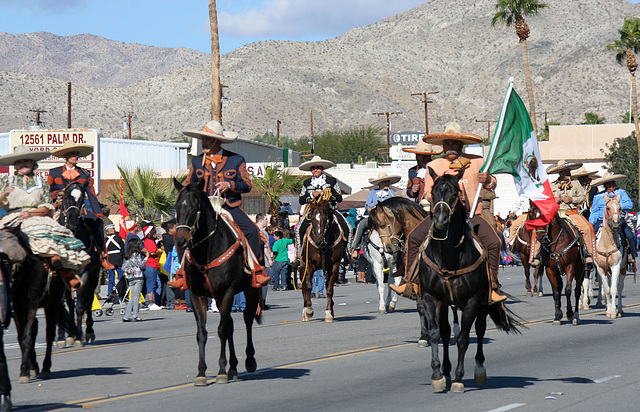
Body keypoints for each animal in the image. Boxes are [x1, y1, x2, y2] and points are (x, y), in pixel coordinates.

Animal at [57, 180, 102, 344]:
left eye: (83, 197)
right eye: (66, 196)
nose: (71, 222)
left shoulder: (85, 273)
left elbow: (80, 306)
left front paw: (78, 337)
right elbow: (64, 304)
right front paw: (62, 337)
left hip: (95, 274)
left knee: (88, 299)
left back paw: (88, 332)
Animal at [172, 179, 262, 384]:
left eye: (195, 207)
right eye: (176, 207)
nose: (180, 241)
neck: (206, 252)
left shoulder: (228, 291)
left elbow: (222, 330)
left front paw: (221, 371)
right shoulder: (197, 294)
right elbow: (202, 333)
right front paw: (201, 373)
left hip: (250, 289)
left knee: (246, 320)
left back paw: (249, 361)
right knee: (230, 324)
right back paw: (234, 367)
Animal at [368, 196, 458, 348]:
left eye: (383, 224)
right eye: (375, 227)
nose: (388, 248)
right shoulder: (418, 281)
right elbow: (421, 307)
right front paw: (424, 336)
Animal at [420, 169, 520, 394]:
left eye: (455, 194)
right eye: (433, 192)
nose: (440, 220)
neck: (449, 254)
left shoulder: (472, 300)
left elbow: (464, 338)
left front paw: (458, 379)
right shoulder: (431, 298)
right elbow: (435, 333)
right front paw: (438, 375)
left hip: (483, 302)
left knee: (480, 330)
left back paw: (478, 370)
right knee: (446, 332)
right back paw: (446, 371)